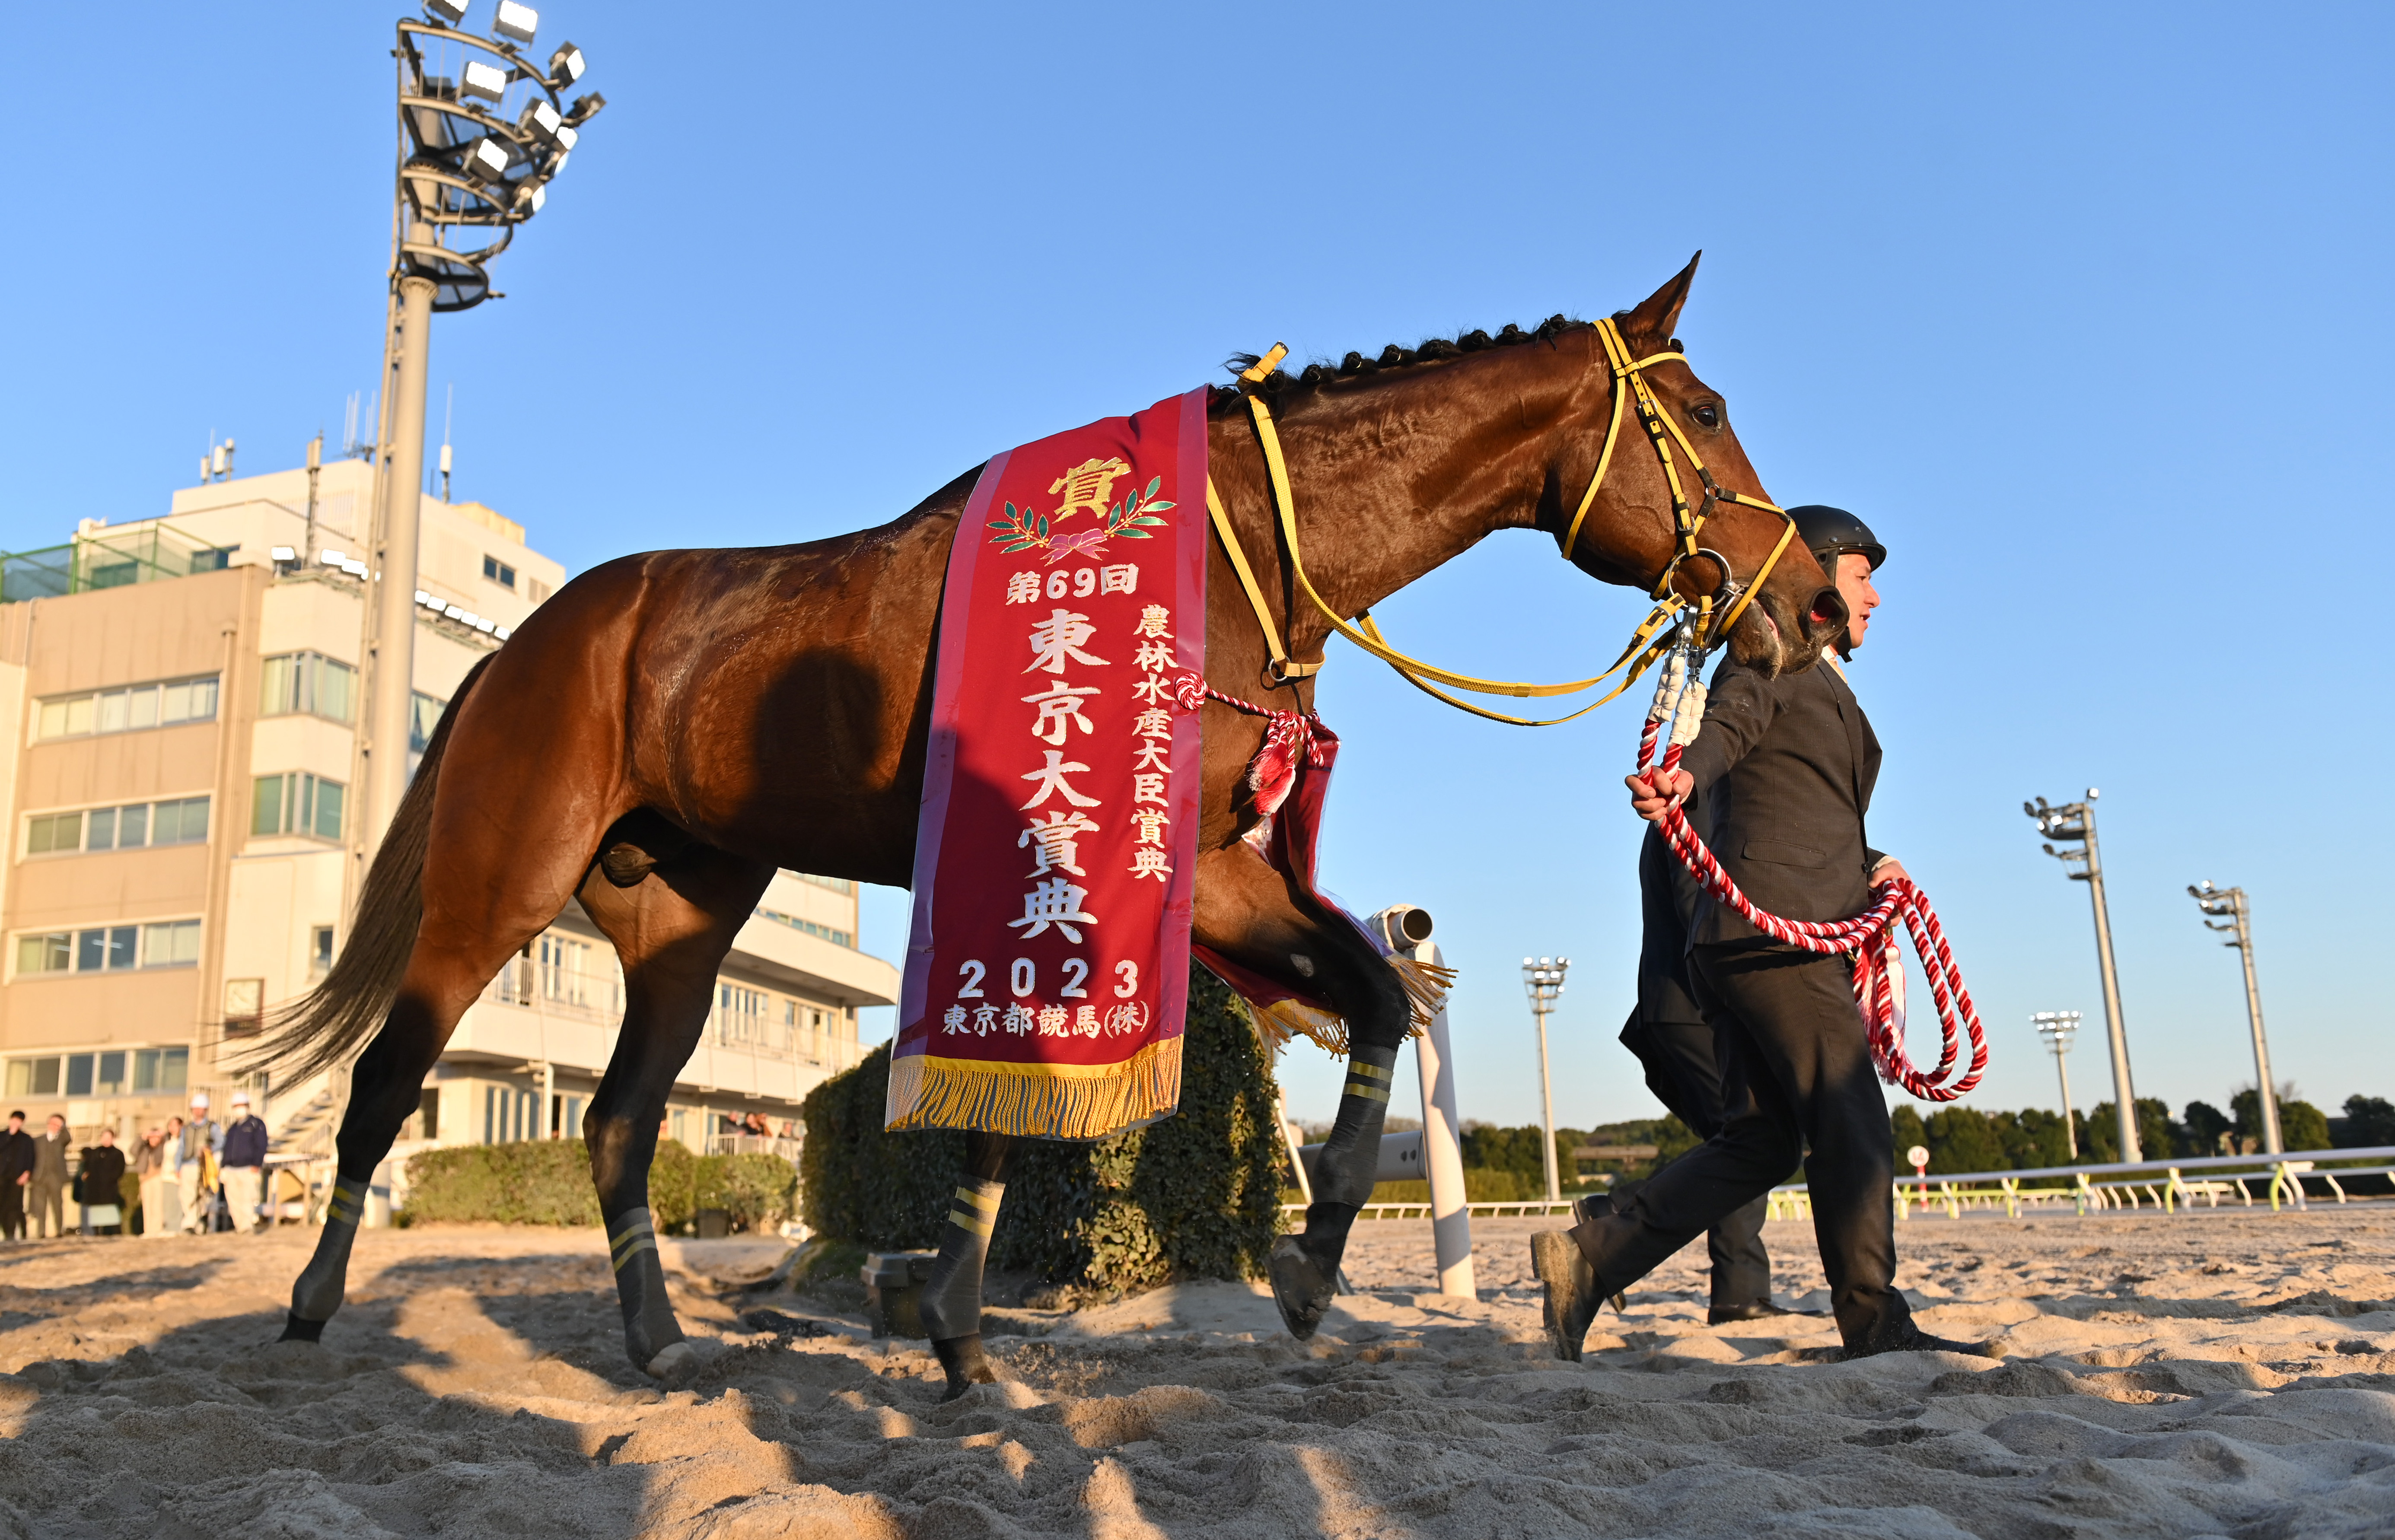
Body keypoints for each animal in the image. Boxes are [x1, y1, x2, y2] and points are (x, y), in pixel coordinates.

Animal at [252, 252, 1839, 1389]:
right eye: (1706, 416)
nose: (1810, 600)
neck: (1224, 548)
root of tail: (534, 635)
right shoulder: (1052, 849)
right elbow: (1008, 1098)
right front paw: (955, 1315)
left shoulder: (1197, 861)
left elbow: (1377, 1000)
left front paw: (1308, 1259)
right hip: (502, 877)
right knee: (389, 1078)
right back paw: (312, 1302)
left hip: (684, 922)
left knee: (620, 1121)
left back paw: (656, 1340)